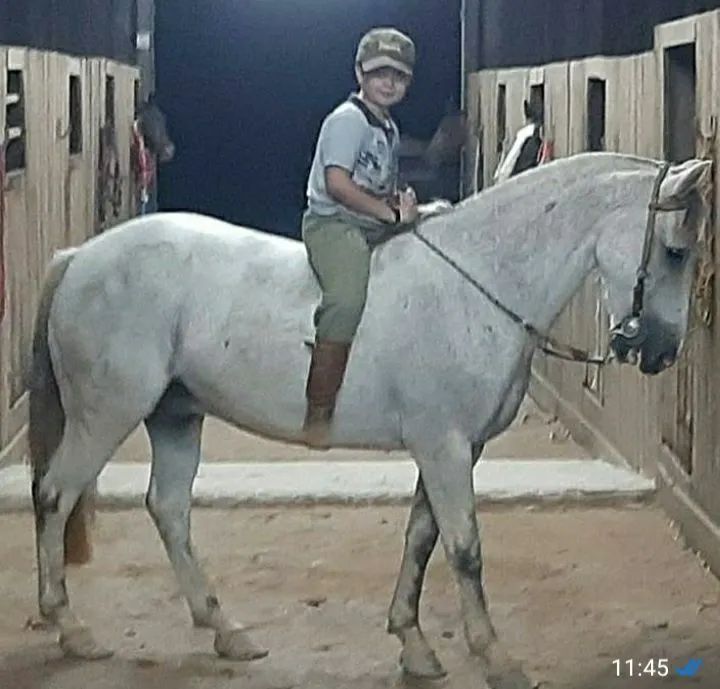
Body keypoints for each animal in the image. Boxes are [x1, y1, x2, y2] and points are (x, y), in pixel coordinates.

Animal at [28, 152, 711, 688]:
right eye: (675, 252)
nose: (660, 351)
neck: (478, 282)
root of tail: (80, 257)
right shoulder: (444, 447)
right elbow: (464, 549)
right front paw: (494, 658)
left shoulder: (453, 449)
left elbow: (422, 538)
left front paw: (413, 643)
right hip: (105, 413)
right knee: (55, 496)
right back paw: (71, 628)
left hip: (175, 415)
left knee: (168, 510)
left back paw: (226, 631)